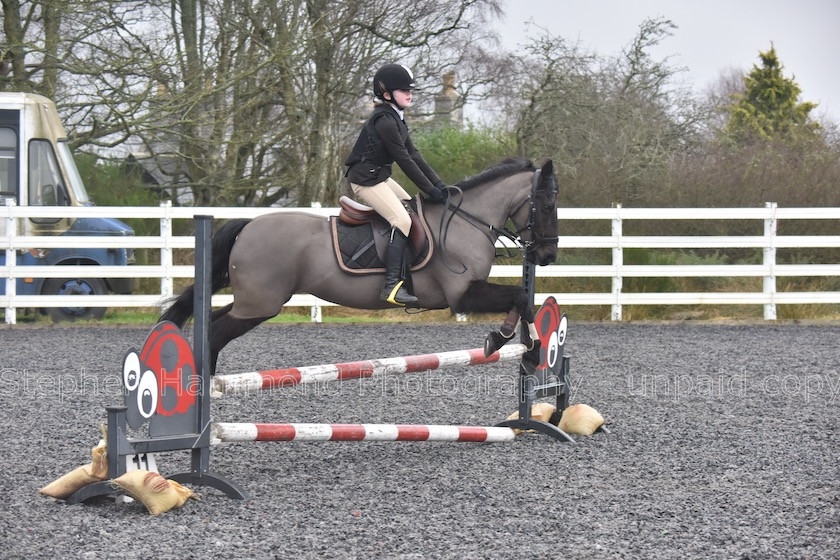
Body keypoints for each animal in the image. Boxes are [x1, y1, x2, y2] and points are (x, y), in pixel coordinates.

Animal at [161, 156, 560, 372]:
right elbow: (518, 296)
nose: (547, 256)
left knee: (211, 321)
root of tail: (248, 226)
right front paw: (504, 339)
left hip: (254, 302)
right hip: (261, 305)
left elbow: (524, 301)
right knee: (215, 332)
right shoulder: (461, 295)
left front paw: (526, 345)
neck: (466, 219)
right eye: (547, 204)